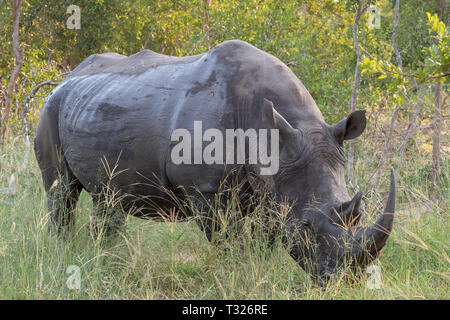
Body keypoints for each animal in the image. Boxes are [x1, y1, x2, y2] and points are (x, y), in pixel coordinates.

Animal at [34, 39, 394, 282]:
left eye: (358, 215)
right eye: (305, 226)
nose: (345, 280)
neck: (272, 133)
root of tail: (66, 77)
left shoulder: (273, 188)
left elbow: (265, 239)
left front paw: (259, 272)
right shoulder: (205, 190)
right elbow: (227, 242)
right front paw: (235, 274)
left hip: (95, 104)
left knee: (107, 198)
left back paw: (104, 258)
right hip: (49, 109)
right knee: (61, 191)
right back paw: (65, 253)